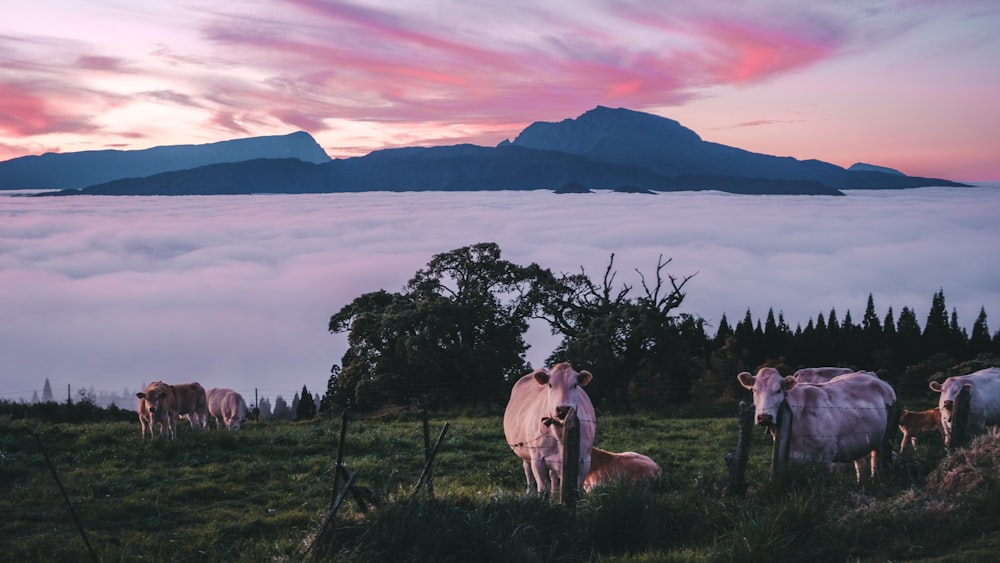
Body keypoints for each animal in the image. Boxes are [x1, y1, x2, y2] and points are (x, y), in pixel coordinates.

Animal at [504, 364, 596, 496]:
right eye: (550, 385)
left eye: (575, 385)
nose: (563, 409)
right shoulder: (537, 459)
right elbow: (542, 489)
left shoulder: (585, 459)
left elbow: (578, 488)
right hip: (525, 453)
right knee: (528, 471)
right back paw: (530, 493)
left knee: (552, 476)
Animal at [736, 368, 900, 482]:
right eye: (754, 390)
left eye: (778, 390)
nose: (764, 417)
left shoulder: (826, 457)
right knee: (860, 463)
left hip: (884, 440)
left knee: (875, 462)